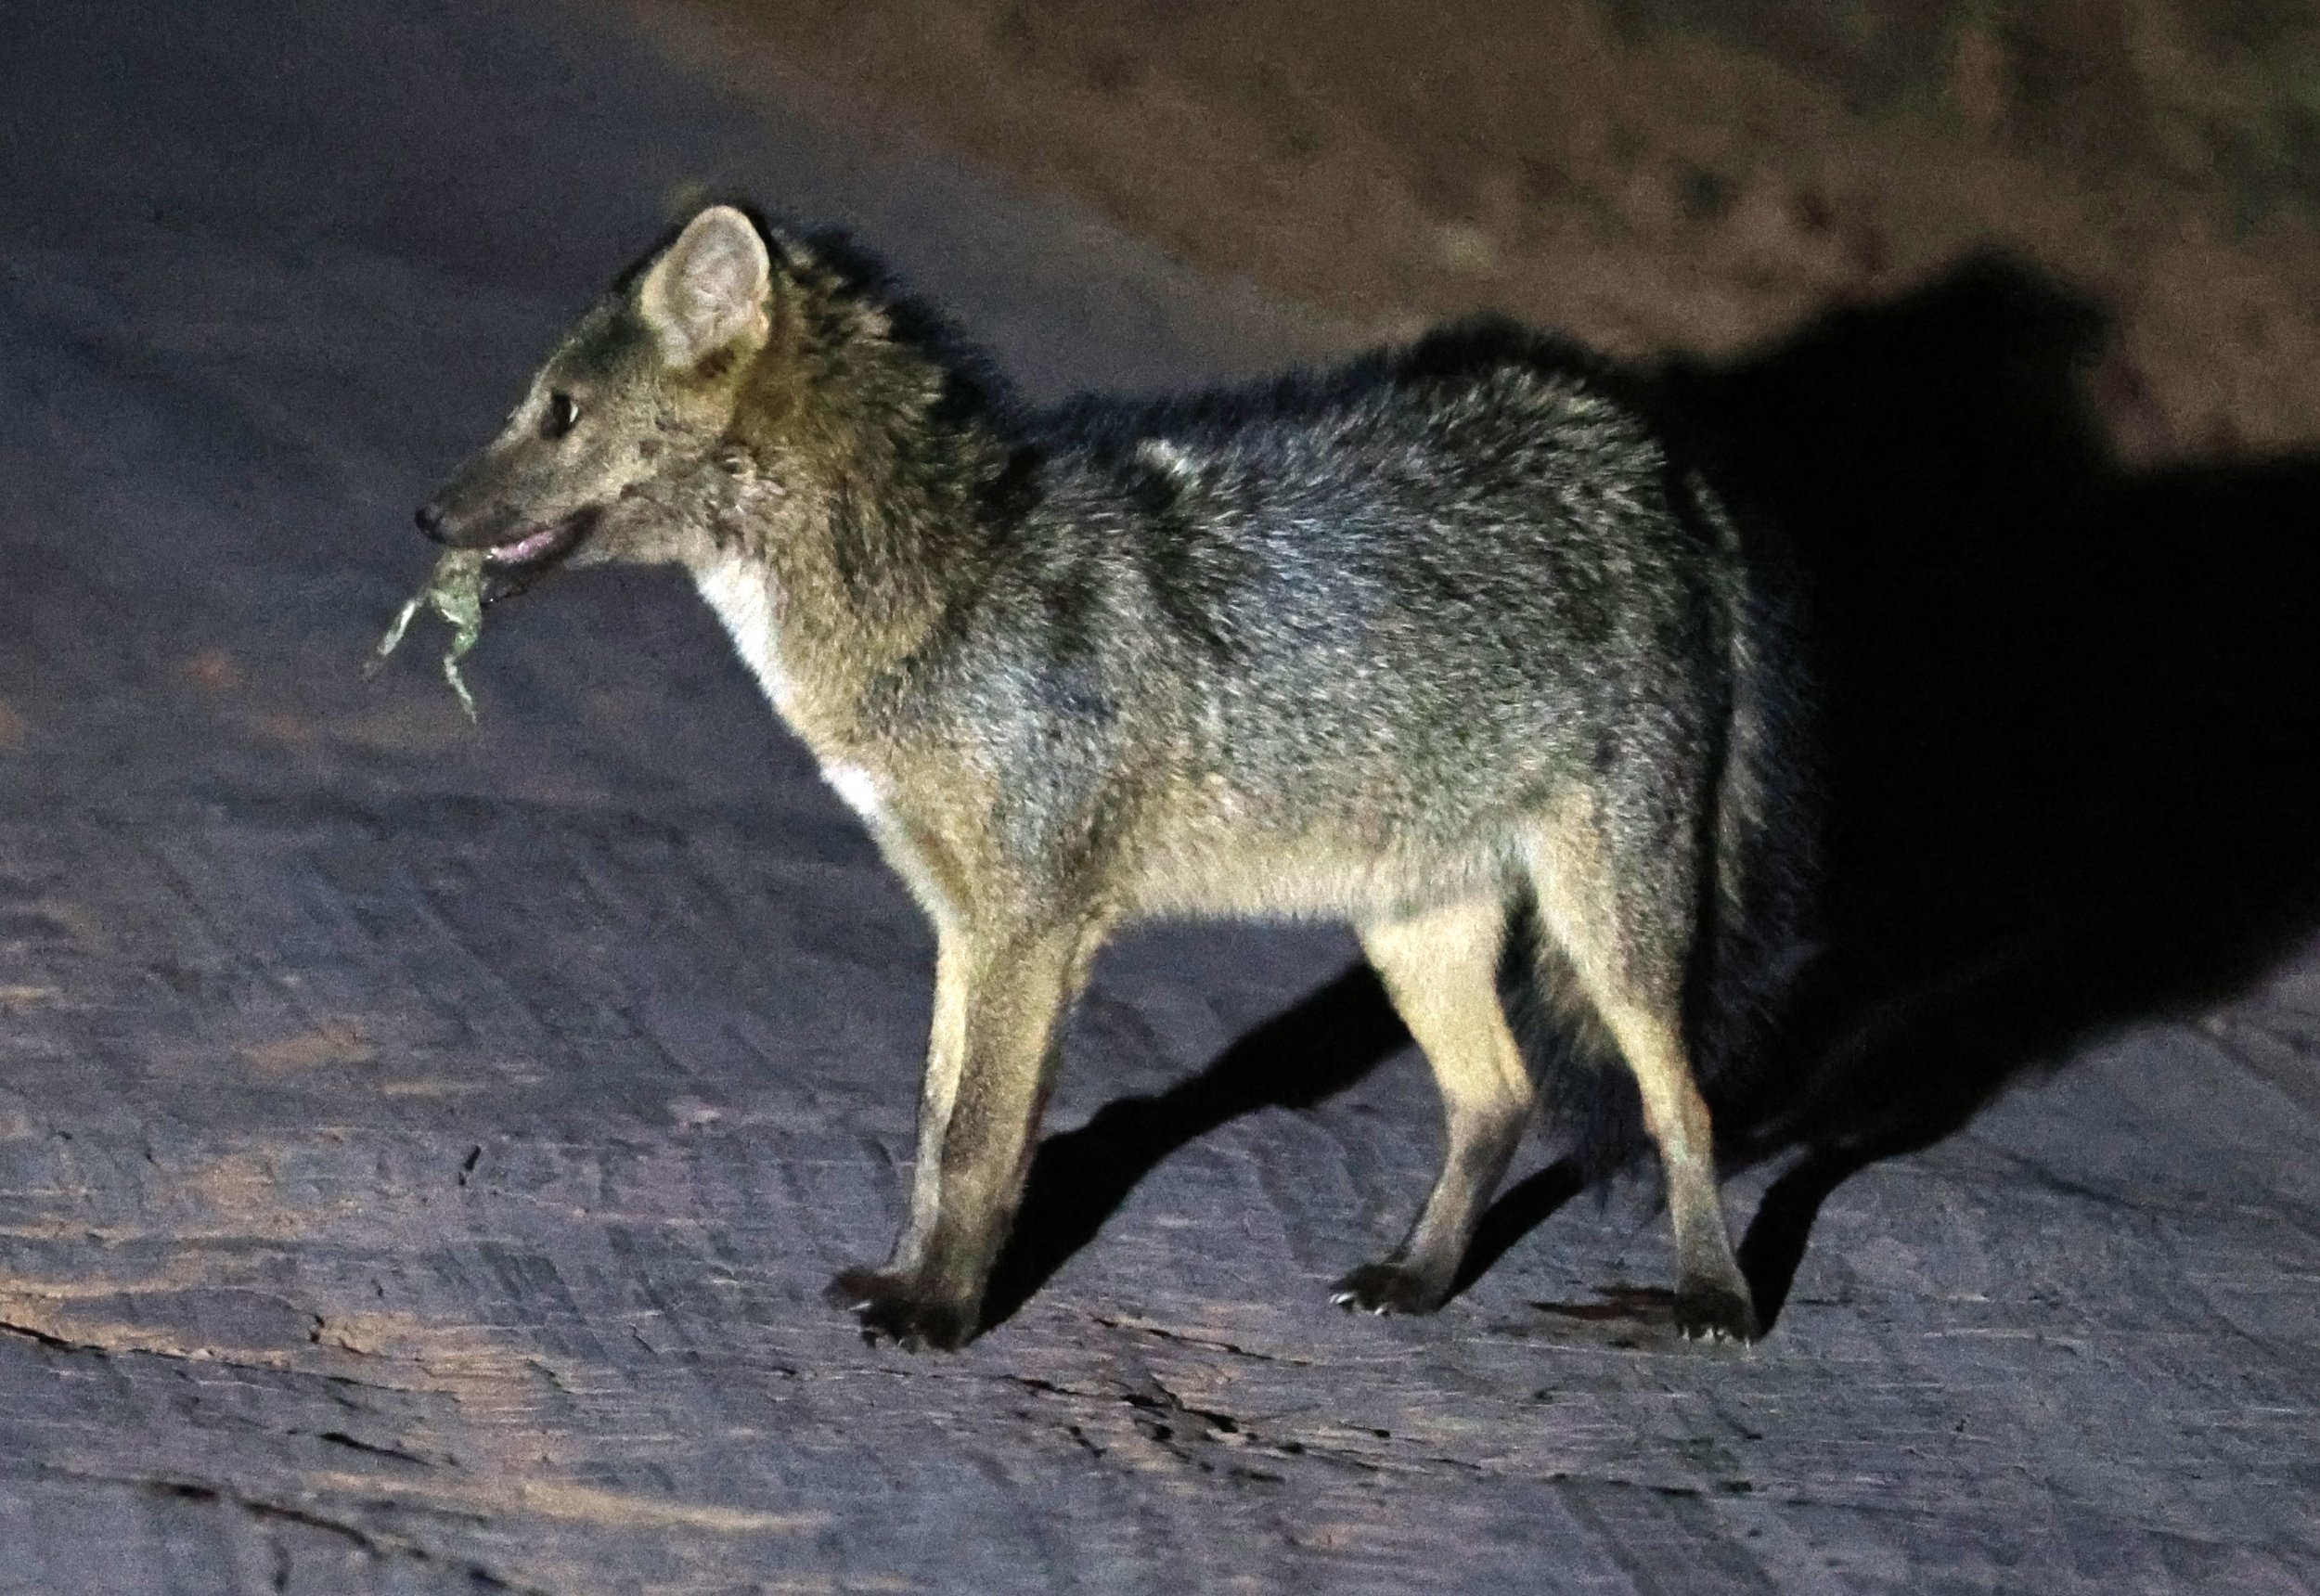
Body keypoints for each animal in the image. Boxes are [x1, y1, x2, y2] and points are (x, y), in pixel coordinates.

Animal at [412, 202, 1817, 1351]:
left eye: (559, 412)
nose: (425, 516)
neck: (942, 599)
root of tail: (1651, 453)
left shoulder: (1037, 927)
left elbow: (982, 1142)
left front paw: (938, 1315)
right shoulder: (963, 923)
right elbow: (933, 1131)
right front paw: (905, 1277)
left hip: (1608, 928)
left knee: (1685, 1105)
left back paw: (1714, 1300)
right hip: (1410, 927)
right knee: (1499, 1098)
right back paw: (1416, 1281)